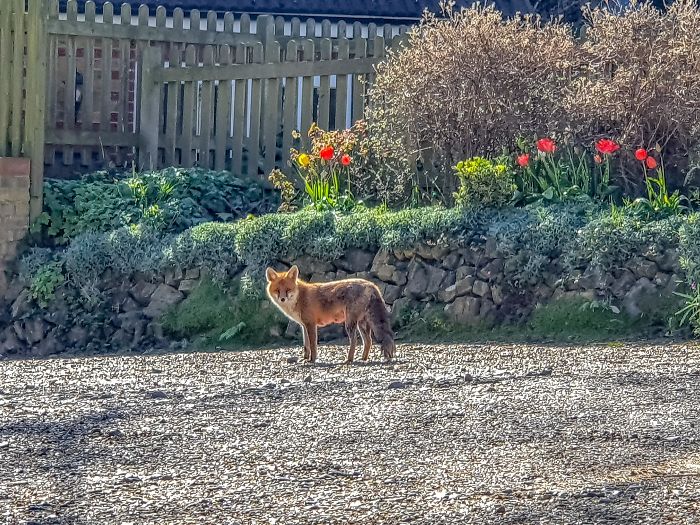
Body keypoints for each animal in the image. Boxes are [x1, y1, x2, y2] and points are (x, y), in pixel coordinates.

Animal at [265, 265, 396, 364]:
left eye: (288, 290)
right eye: (277, 290)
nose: (282, 299)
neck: (300, 297)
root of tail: (371, 284)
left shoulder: (311, 324)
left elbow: (312, 345)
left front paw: (312, 360)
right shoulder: (304, 325)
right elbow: (306, 346)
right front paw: (305, 359)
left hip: (350, 323)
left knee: (354, 341)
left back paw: (349, 359)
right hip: (361, 323)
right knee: (368, 341)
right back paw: (363, 359)